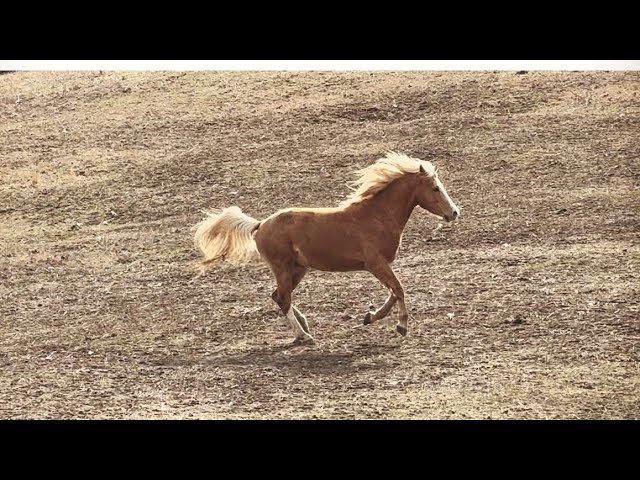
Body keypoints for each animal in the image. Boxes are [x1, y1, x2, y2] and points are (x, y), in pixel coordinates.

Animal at [192, 152, 458, 344]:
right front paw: (401, 326)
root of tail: (260, 224)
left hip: (298, 269)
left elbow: (393, 293)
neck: (377, 216)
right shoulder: (376, 264)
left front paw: (370, 317)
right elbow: (399, 290)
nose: (454, 212)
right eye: (435, 188)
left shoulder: (379, 266)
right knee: (283, 299)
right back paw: (304, 336)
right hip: (283, 268)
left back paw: (304, 325)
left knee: (278, 296)